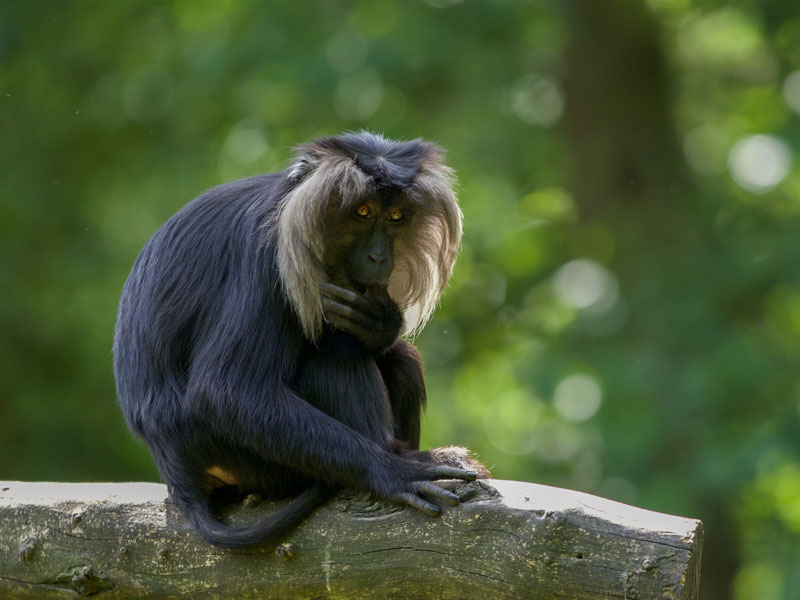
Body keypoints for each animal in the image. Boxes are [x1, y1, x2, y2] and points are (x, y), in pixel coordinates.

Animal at [113, 131, 488, 549]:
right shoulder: (268, 257)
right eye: (362, 212)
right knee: (334, 355)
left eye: (395, 217)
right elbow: (224, 391)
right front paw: (393, 471)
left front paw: (380, 323)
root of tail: (178, 476)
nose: (379, 257)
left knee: (397, 357)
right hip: (251, 462)